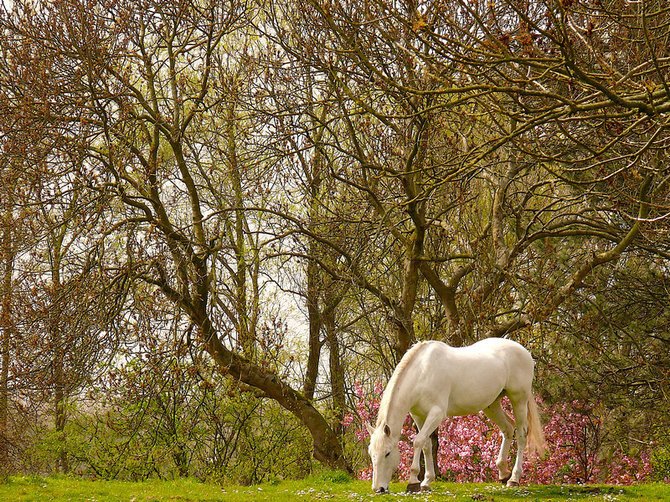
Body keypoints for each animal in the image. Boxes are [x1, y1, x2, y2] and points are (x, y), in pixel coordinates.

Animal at [368, 338, 544, 494]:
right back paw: (503, 473)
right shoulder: (419, 416)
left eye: (387, 453)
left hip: (518, 400)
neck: (423, 372)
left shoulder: (437, 413)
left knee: (521, 435)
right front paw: (426, 482)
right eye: (371, 454)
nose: (378, 489)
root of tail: (525, 352)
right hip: (492, 405)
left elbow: (417, 442)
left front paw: (413, 482)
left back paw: (514, 478)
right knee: (508, 429)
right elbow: (426, 445)